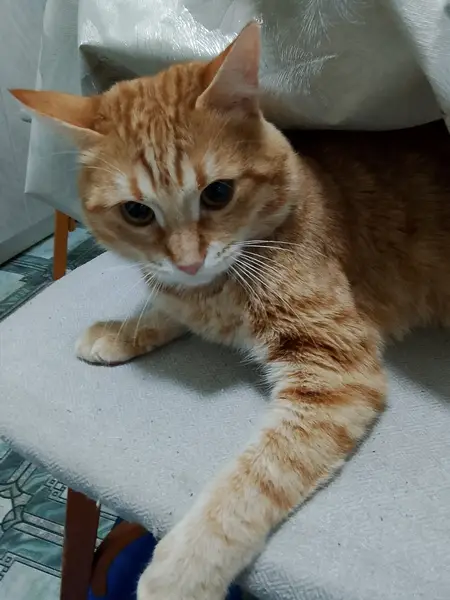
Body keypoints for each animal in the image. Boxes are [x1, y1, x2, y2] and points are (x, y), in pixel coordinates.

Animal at [11, 21, 450, 600]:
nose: (189, 260)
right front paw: (119, 330)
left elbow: (254, 479)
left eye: (217, 193)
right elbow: (165, 308)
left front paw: (179, 569)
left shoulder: (334, 374)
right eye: (136, 212)